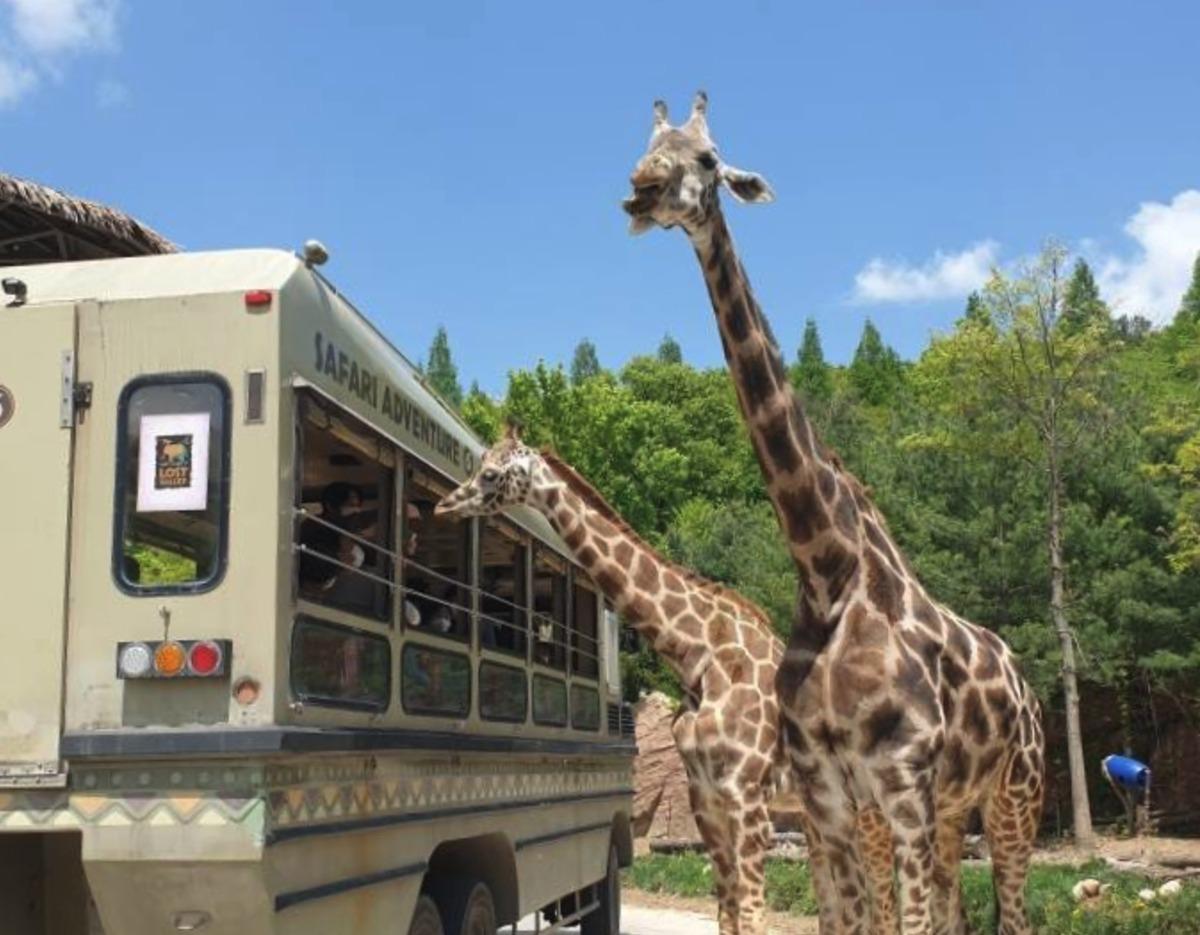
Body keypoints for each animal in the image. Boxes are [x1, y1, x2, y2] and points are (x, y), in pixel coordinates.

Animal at [435, 427, 897, 935]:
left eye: (490, 473)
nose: (443, 505)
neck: (698, 657)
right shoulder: (705, 797)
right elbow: (727, 913)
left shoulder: (747, 796)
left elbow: (751, 916)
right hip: (818, 810)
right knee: (840, 905)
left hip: (869, 804)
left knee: (884, 898)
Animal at [622, 93, 1046, 935]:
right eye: (647, 144)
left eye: (708, 159)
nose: (644, 189)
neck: (826, 568)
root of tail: (1026, 682)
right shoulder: (826, 796)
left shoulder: (899, 787)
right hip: (953, 810)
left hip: (1014, 796)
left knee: (1013, 911)